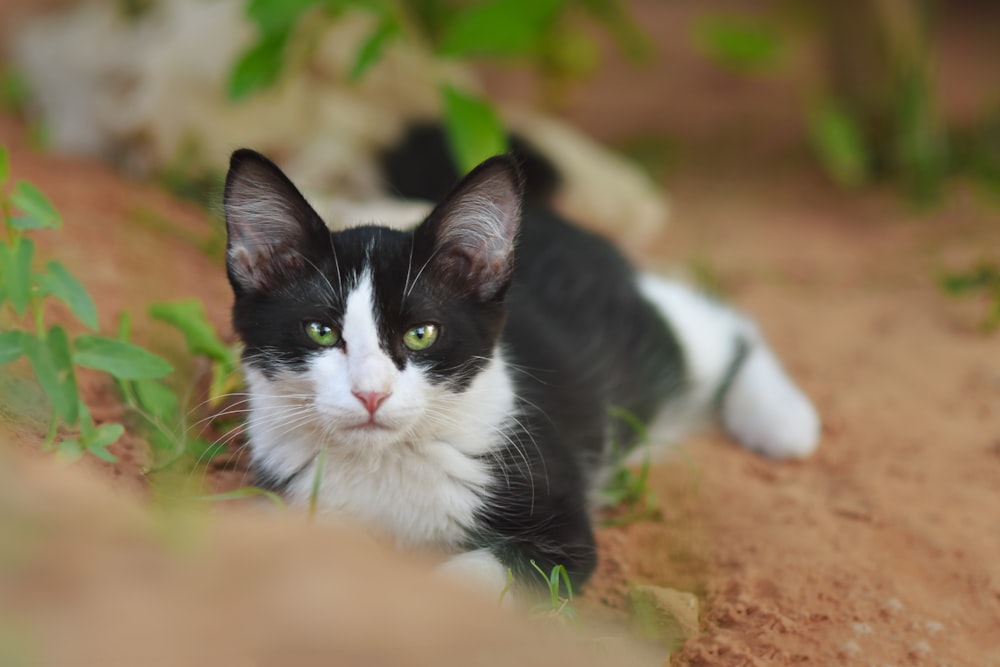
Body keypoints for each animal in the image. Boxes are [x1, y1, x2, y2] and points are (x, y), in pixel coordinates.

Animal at [223, 133, 816, 596]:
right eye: (321, 331)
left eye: (421, 334)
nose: (371, 393)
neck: (385, 463)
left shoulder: (560, 520)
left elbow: (475, 575)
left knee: (717, 324)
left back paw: (783, 420)